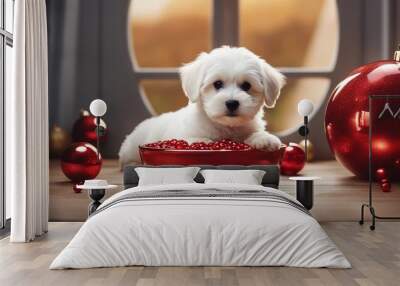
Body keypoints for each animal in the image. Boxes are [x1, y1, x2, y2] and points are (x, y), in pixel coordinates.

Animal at [118, 45, 284, 166]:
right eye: (217, 84)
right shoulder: (184, 136)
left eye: (246, 86)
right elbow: (195, 139)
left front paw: (265, 139)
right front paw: (206, 143)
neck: (226, 127)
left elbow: (254, 134)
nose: (232, 103)